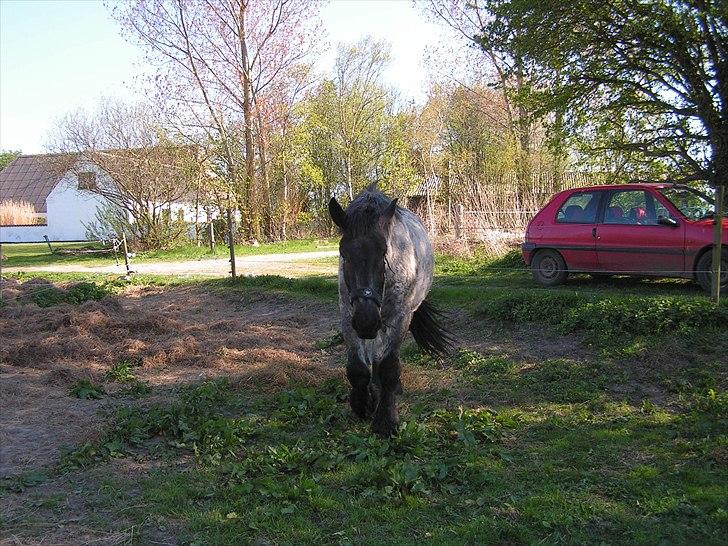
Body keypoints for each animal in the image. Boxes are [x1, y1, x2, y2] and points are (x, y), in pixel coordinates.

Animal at [328, 185, 452, 436]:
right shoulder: (348, 316)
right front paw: (362, 404)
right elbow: (357, 369)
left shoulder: (398, 317)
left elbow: (388, 368)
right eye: (343, 253)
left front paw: (386, 420)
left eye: (384, 252)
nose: (366, 322)